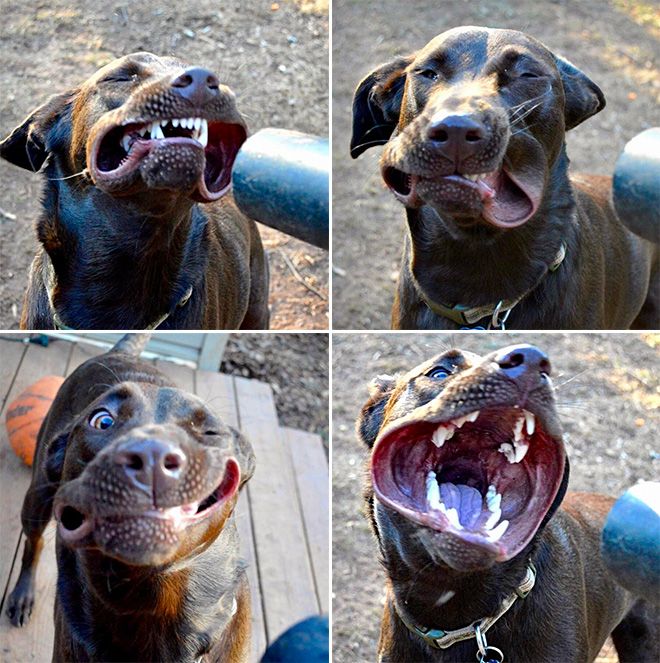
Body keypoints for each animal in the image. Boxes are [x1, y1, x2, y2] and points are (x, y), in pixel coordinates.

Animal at [6, 338, 254, 663]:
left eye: (210, 434)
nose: (151, 455)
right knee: (33, 544)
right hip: (37, 496)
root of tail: (119, 351)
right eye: (103, 420)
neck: (145, 601)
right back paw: (22, 595)